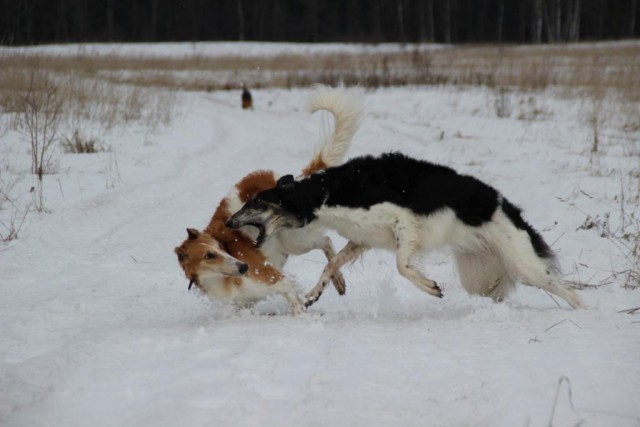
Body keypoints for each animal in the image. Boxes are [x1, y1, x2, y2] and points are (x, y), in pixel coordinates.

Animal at [175, 85, 362, 314]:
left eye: (219, 247)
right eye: (208, 255)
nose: (243, 267)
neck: (220, 278)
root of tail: (295, 181)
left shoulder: (276, 279)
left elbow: (296, 301)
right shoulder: (243, 304)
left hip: (294, 239)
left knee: (326, 241)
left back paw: (337, 279)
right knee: (326, 244)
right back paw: (338, 281)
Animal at [226, 152, 583, 310]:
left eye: (256, 202)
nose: (228, 223)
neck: (325, 193)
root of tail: (506, 205)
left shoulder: (404, 223)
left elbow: (402, 265)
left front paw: (431, 287)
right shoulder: (361, 239)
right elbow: (330, 265)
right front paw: (314, 293)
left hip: (523, 262)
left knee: (568, 291)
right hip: (482, 272)